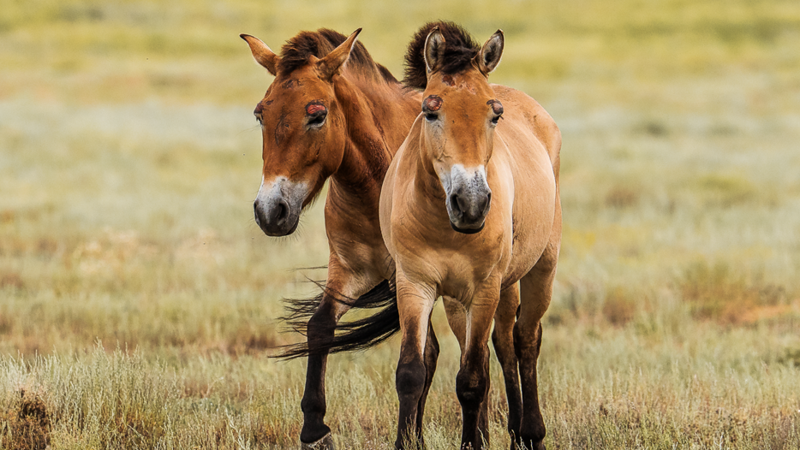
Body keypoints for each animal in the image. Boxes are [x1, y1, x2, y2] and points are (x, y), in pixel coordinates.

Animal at [380, 22, 562, 450]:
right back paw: (512, 431)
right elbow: (411, 372)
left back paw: (531, 433)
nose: (472, 203)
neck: (443, 225)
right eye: (430, 110)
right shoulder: (414, 284)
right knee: (503, 343)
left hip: (540, 269)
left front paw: (473, 442)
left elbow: (472, 379)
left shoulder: (484, 289)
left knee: (525, 340)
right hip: (470, 294)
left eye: (494, 115)